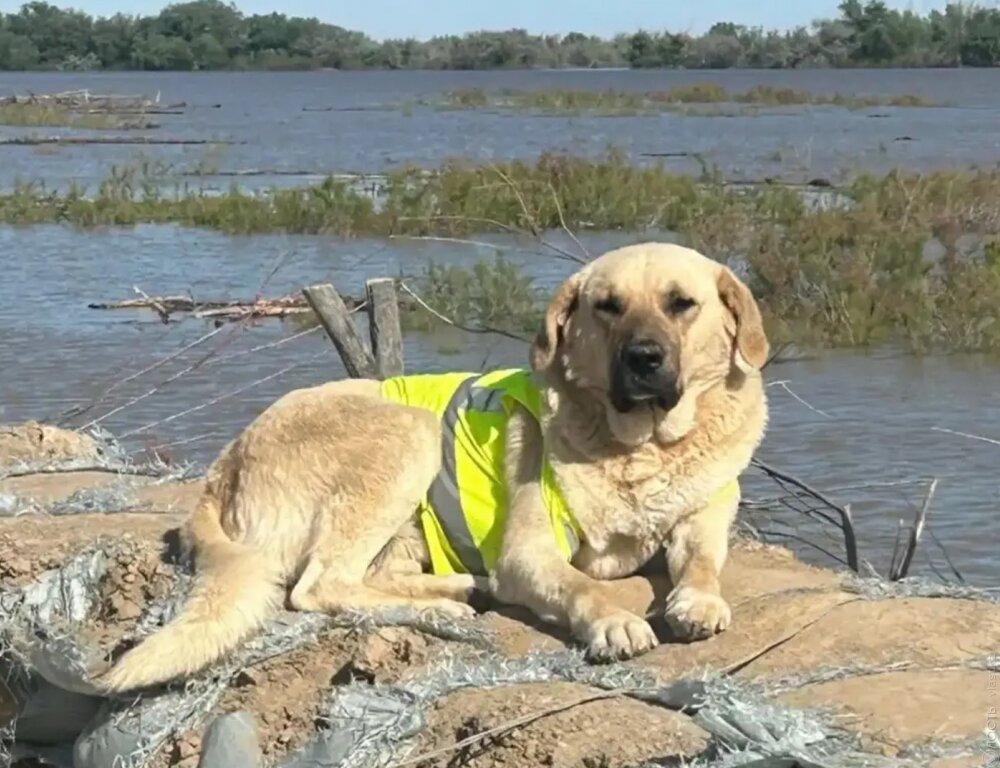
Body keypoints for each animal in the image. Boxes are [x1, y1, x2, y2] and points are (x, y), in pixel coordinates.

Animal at [97, 243, 768, 692]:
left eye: (682, 305)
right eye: (607, 307)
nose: (644, 358)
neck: (642, 447)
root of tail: (226, 464)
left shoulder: (703, 519)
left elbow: (703, 561)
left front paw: (697, 601)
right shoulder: (529, 553)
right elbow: (580, 585)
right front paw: (613, 622)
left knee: (363, 575)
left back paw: (454, 588)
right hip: (408, 432)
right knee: (318, 586)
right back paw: (435, 609)